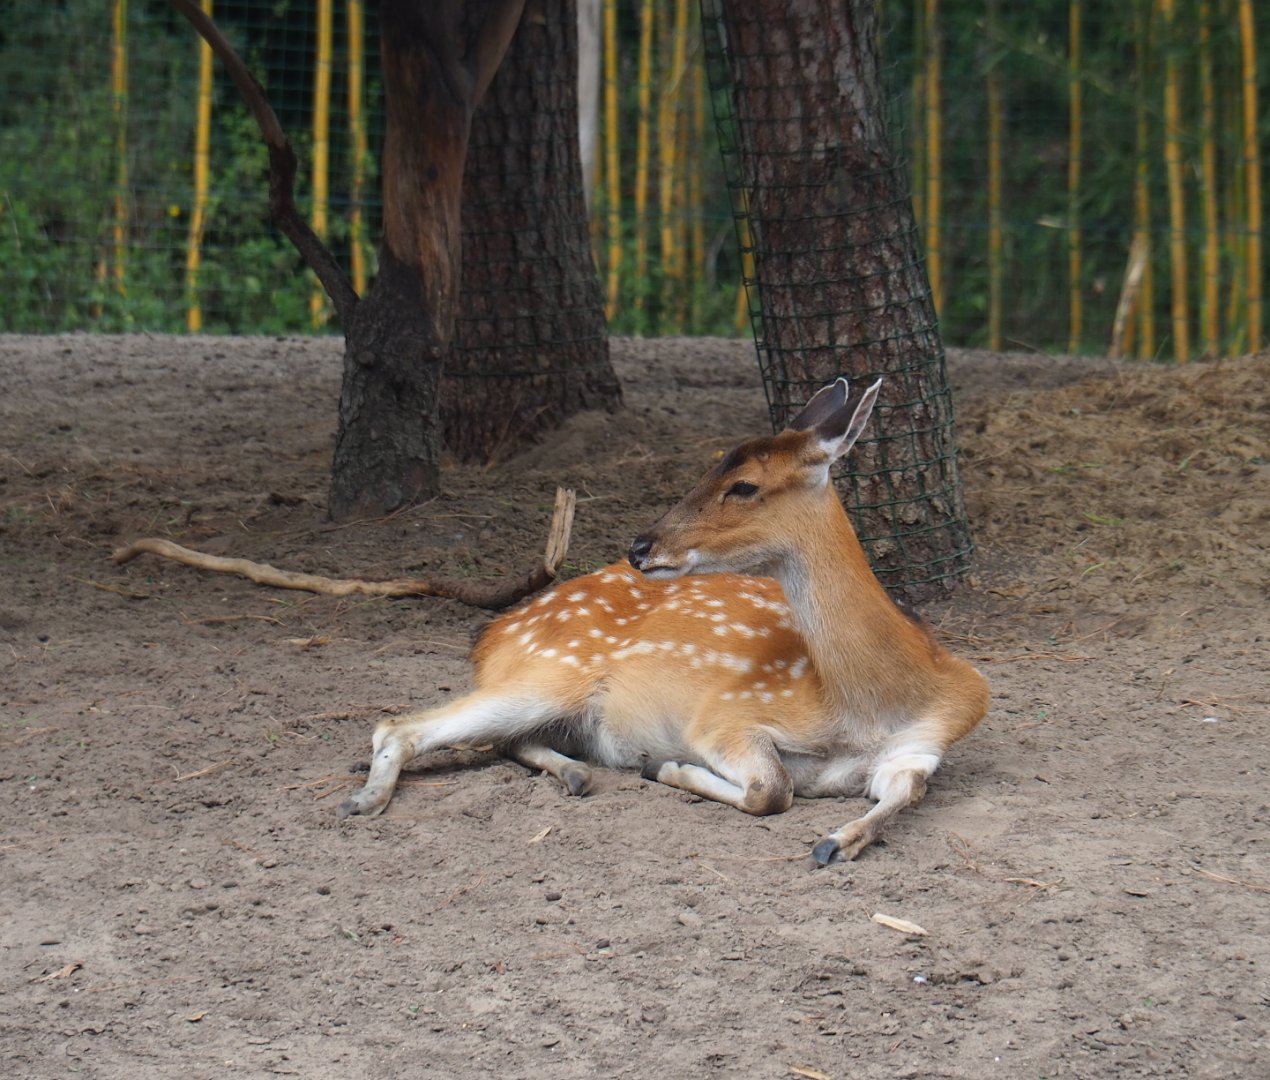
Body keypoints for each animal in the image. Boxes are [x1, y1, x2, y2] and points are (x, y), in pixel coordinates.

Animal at [338, 376, 989, 864]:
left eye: (743, 485)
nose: (640, 546)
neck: (866, 708)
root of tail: (494, 633)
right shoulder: (724, 717)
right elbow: (772, 789)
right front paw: (667, 765)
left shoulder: (926, 742)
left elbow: (907, 790)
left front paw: (838, 840)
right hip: (547, 674)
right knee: (397, 725)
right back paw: (362, 802)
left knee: (501, 740)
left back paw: (575, 774)